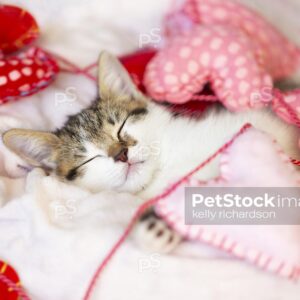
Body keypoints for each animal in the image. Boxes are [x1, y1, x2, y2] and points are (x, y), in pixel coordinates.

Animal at [2, 52, 300, 253]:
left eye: (121, 126)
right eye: (89, 157)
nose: (120, 154)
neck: (165, 167)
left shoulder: (255, 126)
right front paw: (159, 227)